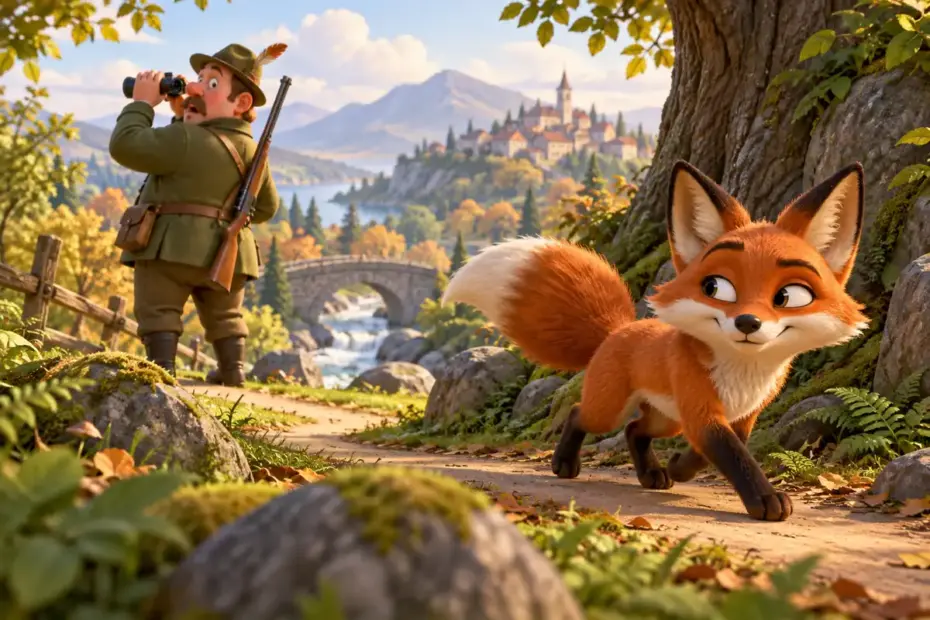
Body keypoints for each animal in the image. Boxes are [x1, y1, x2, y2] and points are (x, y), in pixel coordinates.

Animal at [441, 160, 870, 522]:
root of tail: (618, 329)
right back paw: (565, 464)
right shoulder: (701, 409)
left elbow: (719, 451)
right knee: (581, 414)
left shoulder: (742, 414)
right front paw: (764, 499)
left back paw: (652, 474)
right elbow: (732, 455)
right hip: (613, 408)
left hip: (666, 418)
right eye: (716, 288)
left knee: (635, 430)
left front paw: (679, 466)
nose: (748, 322)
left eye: (790, 296)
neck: (743, 375)